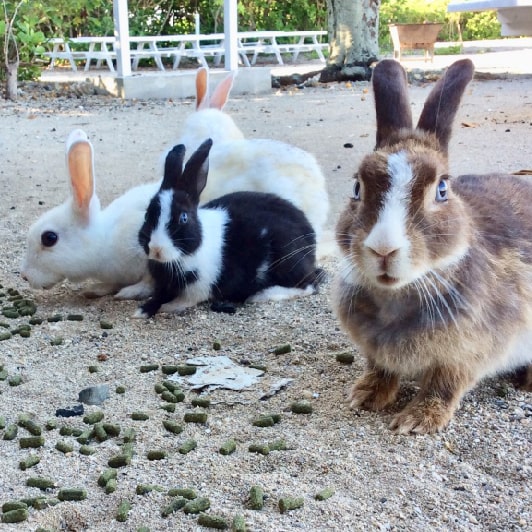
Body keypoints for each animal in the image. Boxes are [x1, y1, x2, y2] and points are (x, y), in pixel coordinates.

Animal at [135, 139, 322, 318]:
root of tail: (311, 240)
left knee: (308, 285)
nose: (156, 249)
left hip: (287, 259)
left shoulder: (200, 286)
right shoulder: (163, 285)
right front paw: (142, 311)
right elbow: (158, 296)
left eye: (183, 218)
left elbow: (187, 299)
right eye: (146, 215)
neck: (179, 258)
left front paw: (170, 307)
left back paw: (260, 295)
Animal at [332, 58, 532, 434]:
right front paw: (364, 396)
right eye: (356, 187)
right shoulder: (377, 351)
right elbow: (381, 369)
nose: (383, 249)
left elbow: (445, 385)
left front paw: (416, 420)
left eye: (441, 189)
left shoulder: (465, 355)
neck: (398, 295)